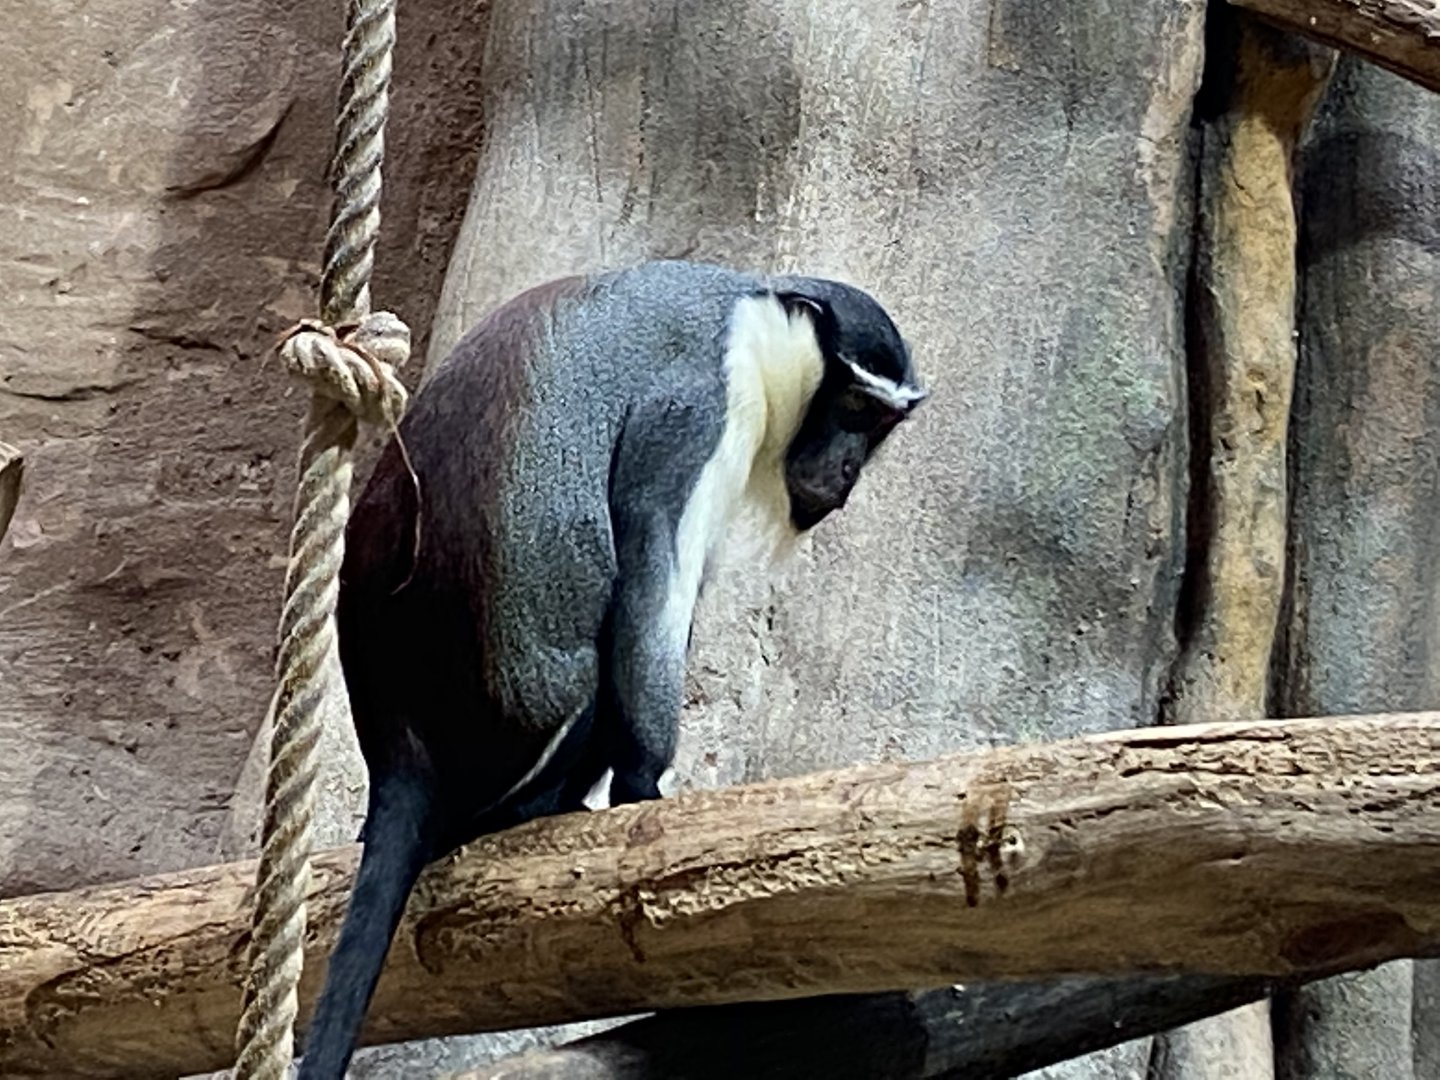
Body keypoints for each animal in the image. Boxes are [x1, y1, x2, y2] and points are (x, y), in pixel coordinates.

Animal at [295, 259, 926, 1079]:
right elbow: (650, 566)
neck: (748, 311)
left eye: (877, 425)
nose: (846, 470)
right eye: (851, 406)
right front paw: (645, 785)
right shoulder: (694, 411)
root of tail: (401, 753)